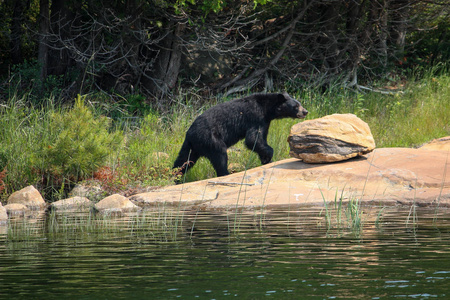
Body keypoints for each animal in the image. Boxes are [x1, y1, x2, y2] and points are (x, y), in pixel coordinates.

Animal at [174, 92, 308, 178]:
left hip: (192, 146)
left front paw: (266, 160)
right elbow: (252, 139)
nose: (305, 111)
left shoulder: (265, 121)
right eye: (296, 106)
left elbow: (260, 139)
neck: (267, 109)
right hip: (210, 139)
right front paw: (269, 155)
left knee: (183, 161)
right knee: (220, 155)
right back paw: (225, 173)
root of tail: (190, 134)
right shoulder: (256, 117)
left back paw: (175, 177)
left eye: (300, 103)